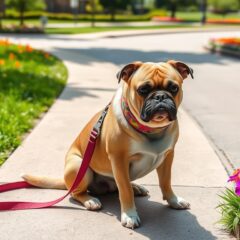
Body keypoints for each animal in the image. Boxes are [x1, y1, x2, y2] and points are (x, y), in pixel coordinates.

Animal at [22, 60, 193, 229]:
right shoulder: (119, 160)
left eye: (174, 88)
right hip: (79, 167)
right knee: (77, 192)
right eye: (143, 90)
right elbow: (125, 190)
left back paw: (136, 187)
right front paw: (129, 215)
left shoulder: (168, 156)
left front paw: (173, 200)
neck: (151, 130)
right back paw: (90, 200)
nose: (160, 96)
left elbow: (166, 181)